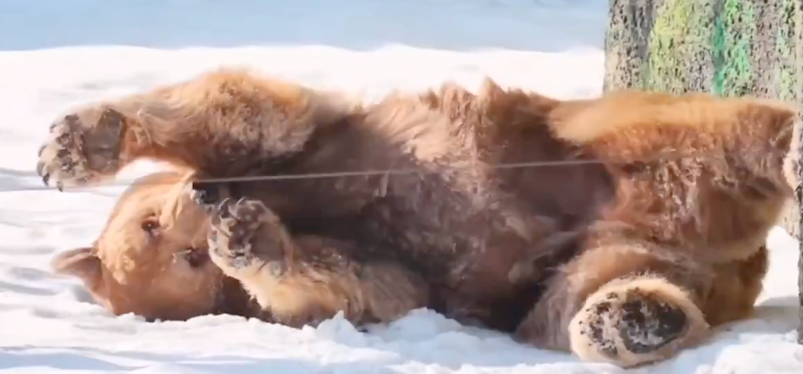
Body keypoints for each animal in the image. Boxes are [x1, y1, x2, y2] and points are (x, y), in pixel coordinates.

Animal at [42, 68, 796, 368]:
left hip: (582, 139)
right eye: (187, 261)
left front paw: (76, 145)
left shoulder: (323, 151)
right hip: (590, 263)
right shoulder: (392, 264)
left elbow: (246, 110)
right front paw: (251, 240)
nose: (205, 203)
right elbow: (355, 282)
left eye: (151, 224)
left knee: (716, 132)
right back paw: (632, 320)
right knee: (587, 299)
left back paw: (790, 150)